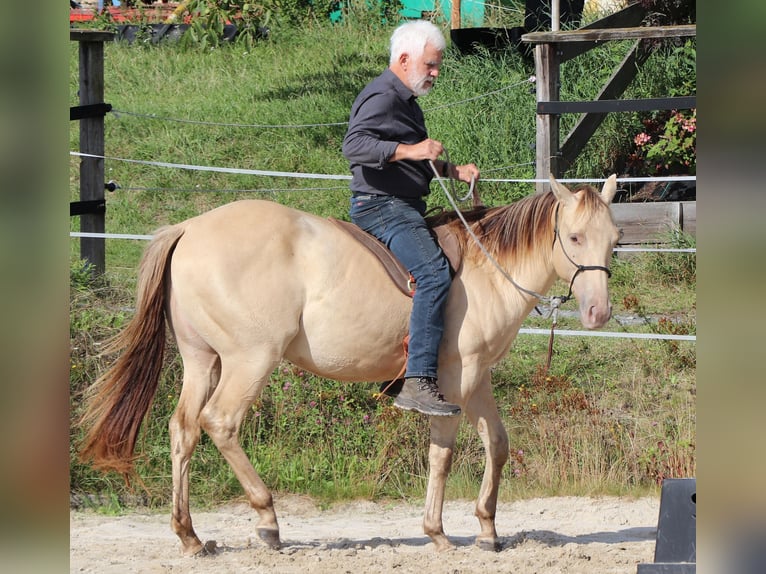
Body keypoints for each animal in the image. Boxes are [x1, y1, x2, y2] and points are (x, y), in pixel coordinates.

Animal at [78, 174, 620, 554]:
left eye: (614, 239)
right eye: (574, 237)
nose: (598, 313)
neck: (485, 267)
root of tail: (189, 228)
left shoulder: (479, 377)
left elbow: (499, 445)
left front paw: (488, 529)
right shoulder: (453, 379)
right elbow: (442, 454)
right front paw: (438, 532)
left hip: (201, 360)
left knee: (184, 429)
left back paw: (189, 536)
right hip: (249, 361)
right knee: (221, 422)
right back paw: (267, 519)